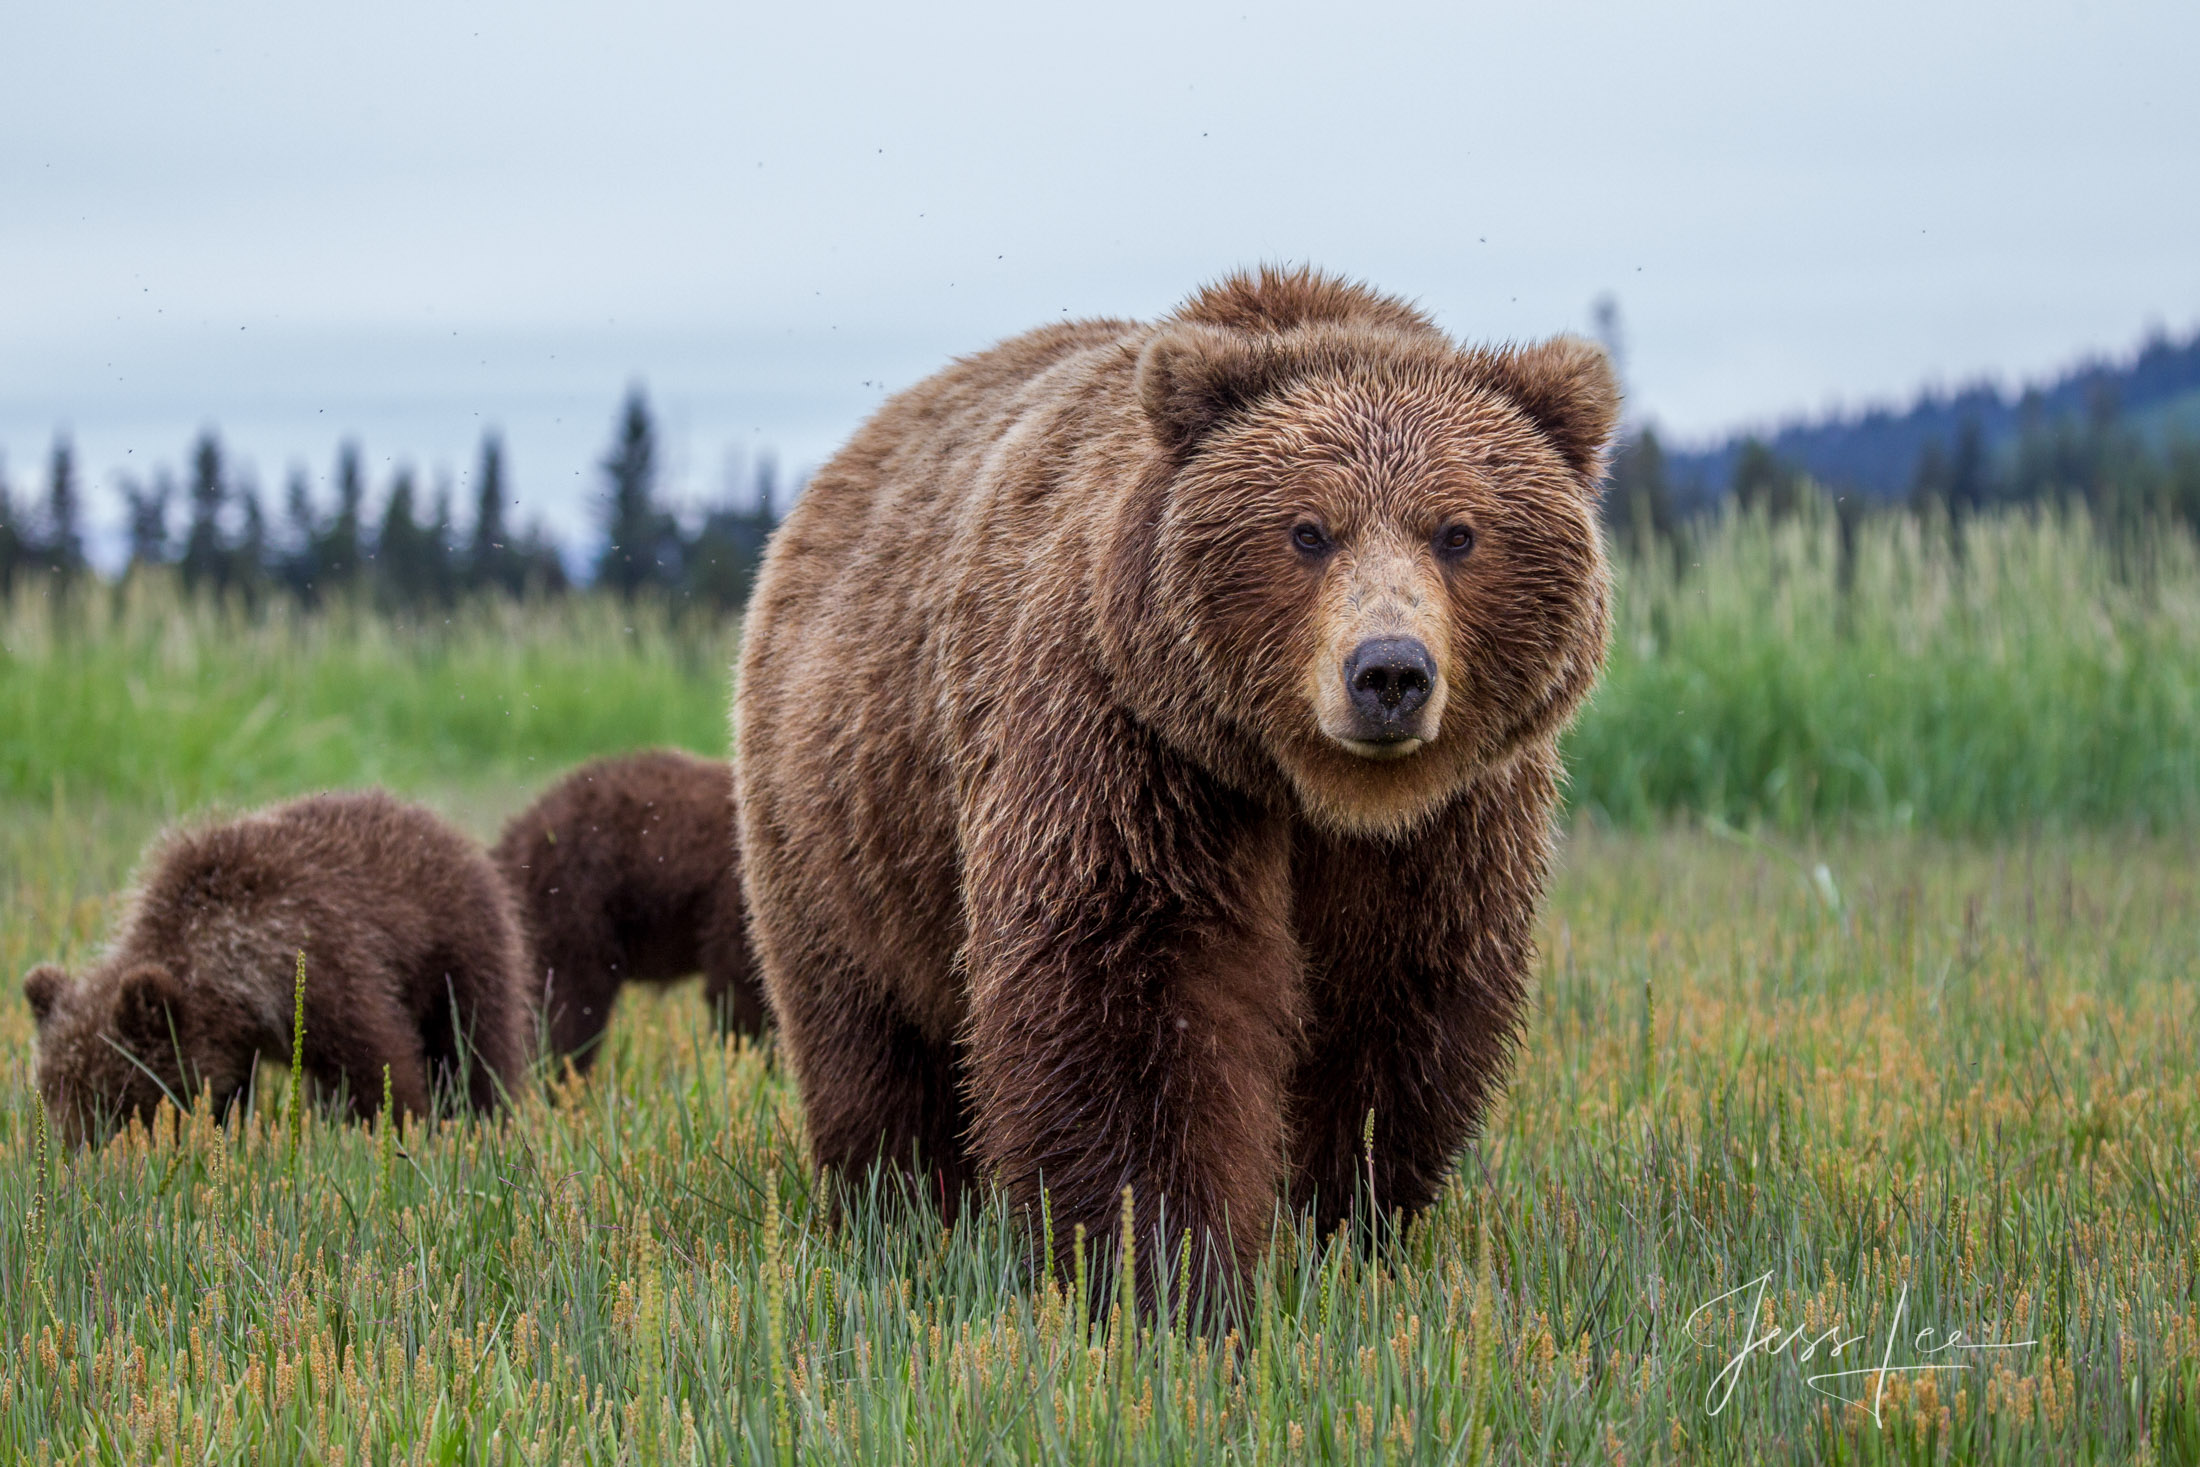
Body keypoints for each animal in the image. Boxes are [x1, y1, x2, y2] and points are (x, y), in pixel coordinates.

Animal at [24, 787, 528, 1143]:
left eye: (106, 1097)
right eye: (50, 1088)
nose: (72, 1150)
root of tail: (443, 826)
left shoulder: (317, 964)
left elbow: (376, 1061)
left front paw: (400, 1124)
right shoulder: (232, 1040)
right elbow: (226, 1091)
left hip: (456, 948)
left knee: (471, 1045)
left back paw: (482, 1116)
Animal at [739, 263, 1619, 1293]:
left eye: (1457, 532)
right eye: (1307, 530)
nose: (1390, 672)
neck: (1314, 791)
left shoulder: (1452, 820)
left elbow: (1395, 1008)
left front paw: (1342, 1229)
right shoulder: (1133, 745)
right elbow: (1134, 991)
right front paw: (1165, 1267)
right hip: (845, 819)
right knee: (868, 1035)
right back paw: (902, 1211)